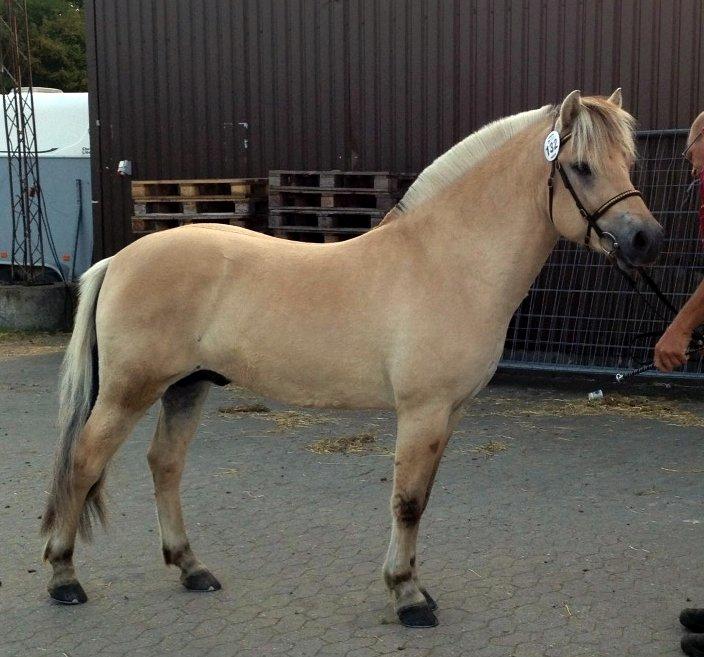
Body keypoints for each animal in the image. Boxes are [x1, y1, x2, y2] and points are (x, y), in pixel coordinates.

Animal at [42, 89, 660, 628]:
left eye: (627, 161)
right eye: (581, 166)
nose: (646, 239)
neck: (446, 262)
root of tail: (120, 260)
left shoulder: (449, 413)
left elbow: (421, 500)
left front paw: (411, 585)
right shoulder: (423, 411)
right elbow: (407, 502)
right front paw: (408, 598)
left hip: (187, 387)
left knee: (165, 465)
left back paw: (192, 569)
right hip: (131, 391)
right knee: (83, 462)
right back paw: (64, 578)